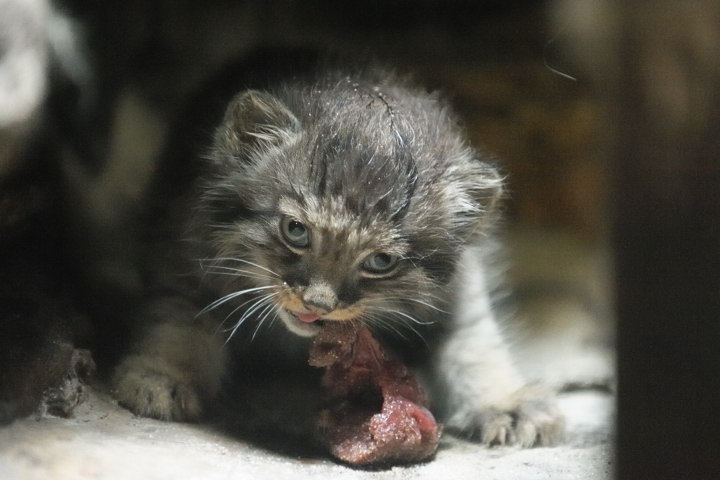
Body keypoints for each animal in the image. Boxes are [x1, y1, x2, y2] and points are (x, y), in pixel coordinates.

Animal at [111, 58, 564, 448]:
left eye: (380, 262)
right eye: (296, 231)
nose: (318, 303)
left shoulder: (460, 289)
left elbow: (475, 344)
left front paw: (506, 402)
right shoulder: (182, 256)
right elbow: (179, 320)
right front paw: (162, 375)